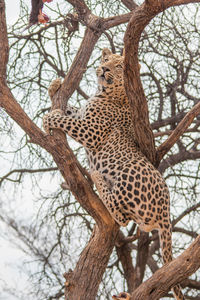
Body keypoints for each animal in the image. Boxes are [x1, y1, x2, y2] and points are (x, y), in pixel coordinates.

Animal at [43, 48, 185, 298]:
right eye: (106, 60)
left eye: (119, 66)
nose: (104, 68)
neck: (104, 93)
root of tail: (166, 212)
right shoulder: (83, 115)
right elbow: (73, 109)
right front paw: (54, 86)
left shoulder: (91, 131)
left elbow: (65, 119)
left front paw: (48, 118)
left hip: (129, 171)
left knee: (121, 214)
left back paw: (97, 178)